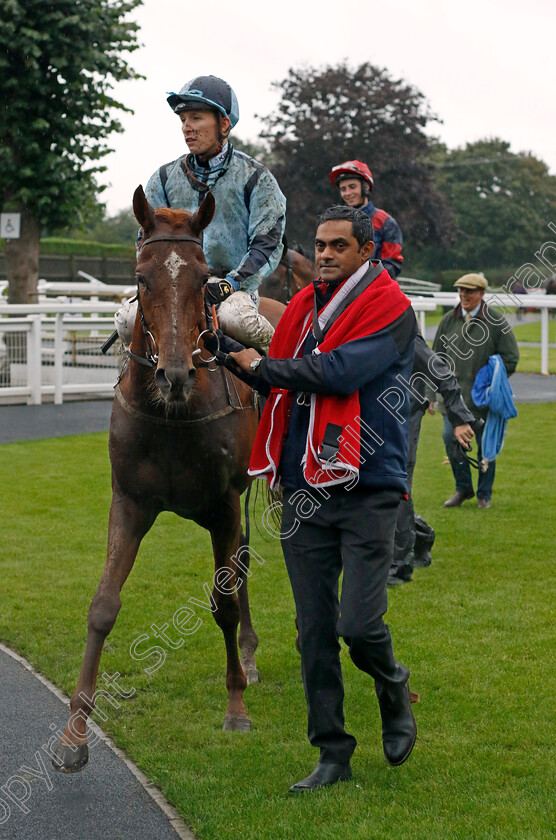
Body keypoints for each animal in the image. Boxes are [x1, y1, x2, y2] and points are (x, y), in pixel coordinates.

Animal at [53, 187, 282, 772]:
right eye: (141, 277)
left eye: (204, 278)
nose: (174, 375)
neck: (174, 413)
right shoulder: (129, 501)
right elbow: (103, 606)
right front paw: (74, 735)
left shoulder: (223, 504)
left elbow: (223, 603)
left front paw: (235, 708)